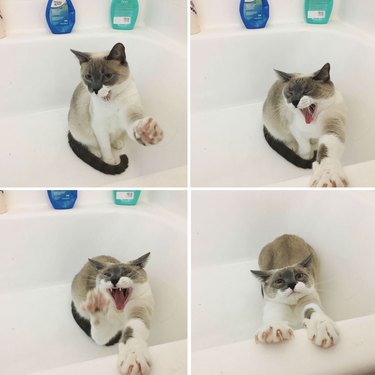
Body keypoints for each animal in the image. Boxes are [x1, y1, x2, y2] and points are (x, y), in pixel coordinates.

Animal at [68, 43, 164, 176]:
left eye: (107, 76)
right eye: (88, 77)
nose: (95, 89)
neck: (112, 100)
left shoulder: (129, 114)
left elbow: (134, 124)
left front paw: (147, 132)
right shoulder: (100, 127)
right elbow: (105, 146)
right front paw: (109, 161)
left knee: (113, 137)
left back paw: (117, 143)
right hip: (81, 129)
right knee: (89, 142)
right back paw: (96, 152)